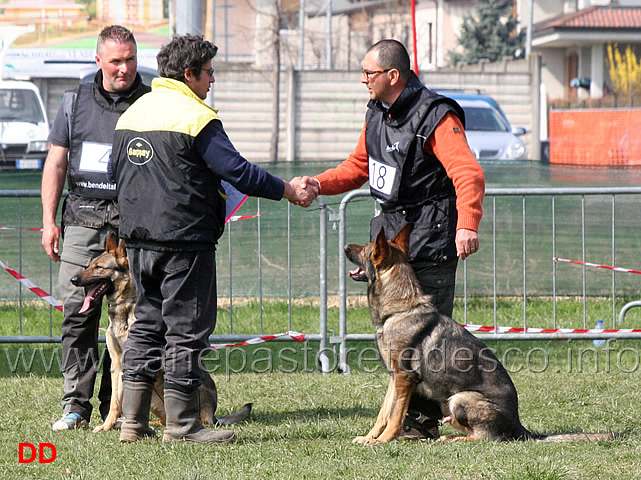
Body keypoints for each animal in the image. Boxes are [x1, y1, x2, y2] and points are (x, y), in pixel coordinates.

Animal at [70, 234, 250, 434]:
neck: (123, 306)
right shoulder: (117, 364)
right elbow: (115, 402)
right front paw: (108, 425)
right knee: (162, 417)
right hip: (154, 402)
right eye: (90, 265)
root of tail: (213, 414)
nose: (73, 279)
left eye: (99, 267)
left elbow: (118, 402)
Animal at [344, 223, 616, 444]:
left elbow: (395, 415)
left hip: (460, 398)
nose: (345, 245)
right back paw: (450, 433)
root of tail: (520, 427)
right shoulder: (394, 379)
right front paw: (369, 437)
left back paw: (455, 438)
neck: (400, 309)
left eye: (365, 249)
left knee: (486, 438)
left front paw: (383, 441)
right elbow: (383, 413)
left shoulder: (404, 379)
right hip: (447, 401)